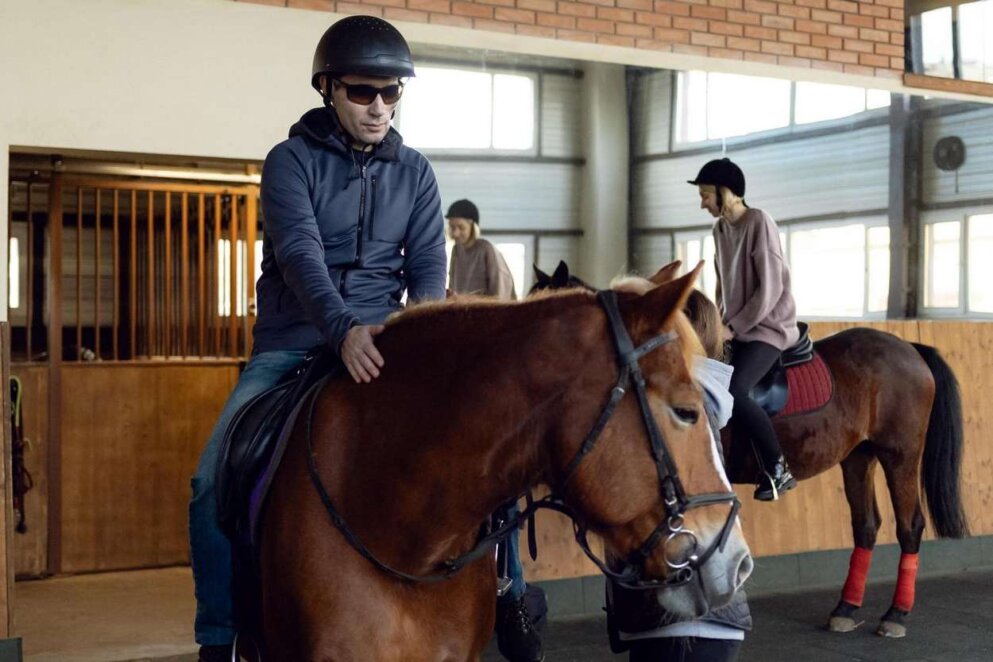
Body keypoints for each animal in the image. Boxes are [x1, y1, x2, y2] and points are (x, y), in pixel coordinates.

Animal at [540, 264, 964, 644]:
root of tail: (909, 348)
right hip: (859, 457)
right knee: (866, 525)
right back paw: (845, 608)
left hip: (900, 454)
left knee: (909, 526)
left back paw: (896, 615)